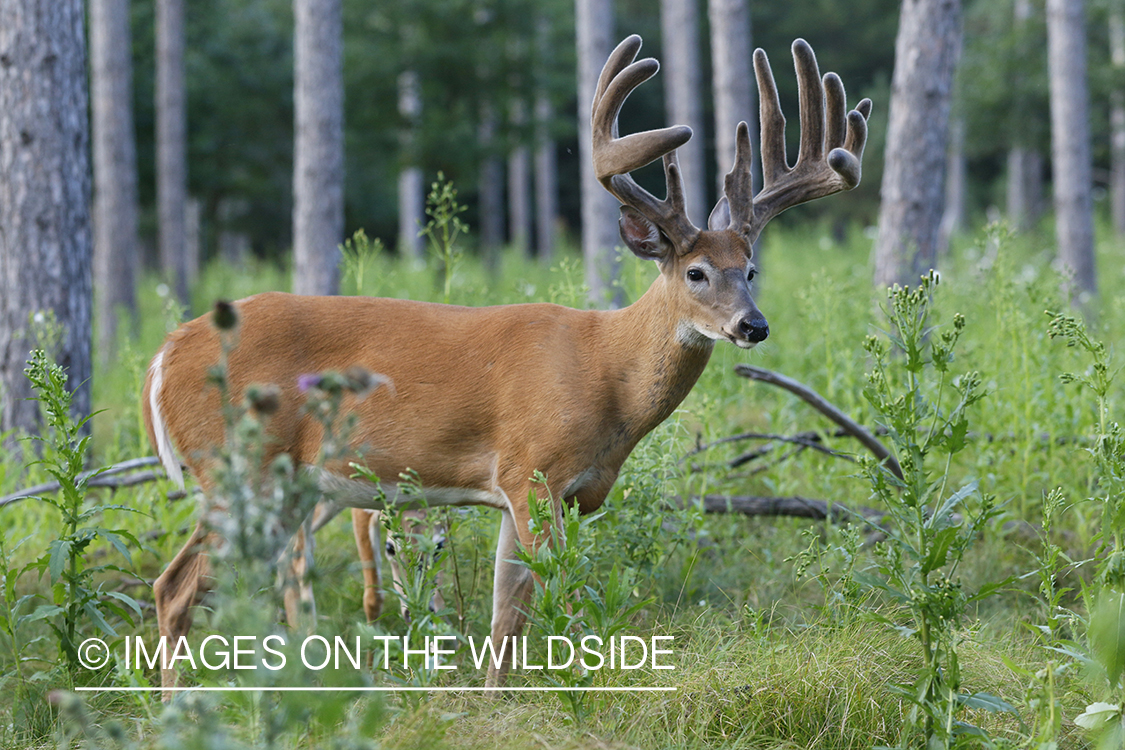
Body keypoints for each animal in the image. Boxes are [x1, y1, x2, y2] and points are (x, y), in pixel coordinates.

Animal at [142, 35, 868, 692]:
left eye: (750, 269)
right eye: (695, 272)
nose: (753, 325)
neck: (606, 373)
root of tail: (165, 352)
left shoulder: (544, 491)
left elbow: (505, 618)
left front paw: (496, 704)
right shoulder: (533, 472)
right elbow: (565, 601)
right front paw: (586, 693)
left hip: (286, 485)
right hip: (238, 465)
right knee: (176, 587)